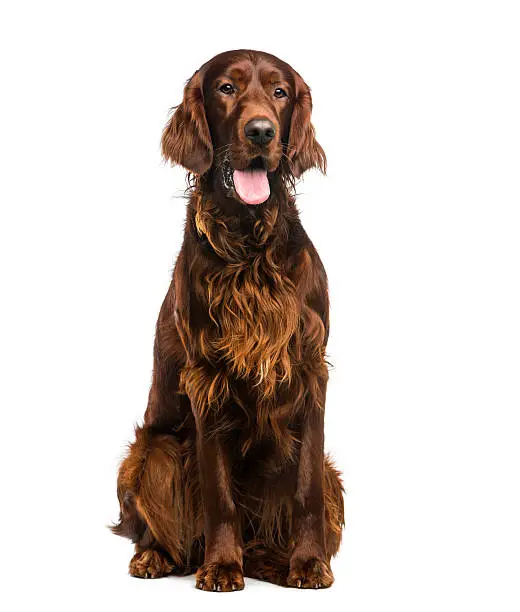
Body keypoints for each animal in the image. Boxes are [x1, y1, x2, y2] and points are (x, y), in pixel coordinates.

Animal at [111, 50, 344, 592]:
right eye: (225, 88)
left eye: (280, 92)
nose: (260, 131)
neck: (249, 245)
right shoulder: (207, 378)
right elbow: (219, 492)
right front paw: (220, 566)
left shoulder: (310, 370)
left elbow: (305, 489)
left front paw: (309, 564)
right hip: (152, 452)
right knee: (163, 533)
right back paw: (158, 557)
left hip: (332, 476)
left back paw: (273, 563)